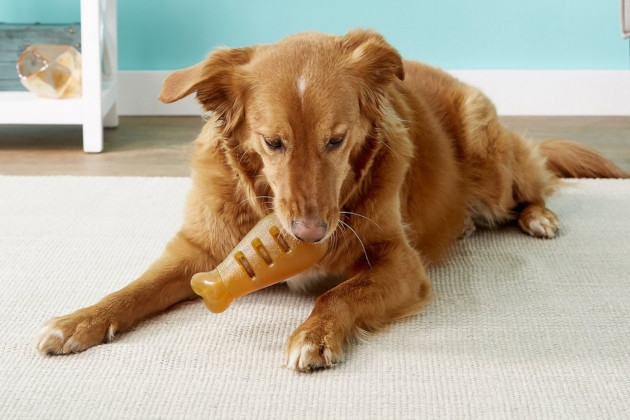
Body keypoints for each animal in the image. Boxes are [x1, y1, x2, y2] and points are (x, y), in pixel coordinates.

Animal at [37, 28, 628, 370]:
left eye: (337, 140)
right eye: (273, 142)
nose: (309, 235)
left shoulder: (399, 263)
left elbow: (339, 294)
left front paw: (315, 335)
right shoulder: (196, 250)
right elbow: (134, 288)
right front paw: (79, 321)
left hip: (490, 152)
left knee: (533, 184)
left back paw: (540, 218)